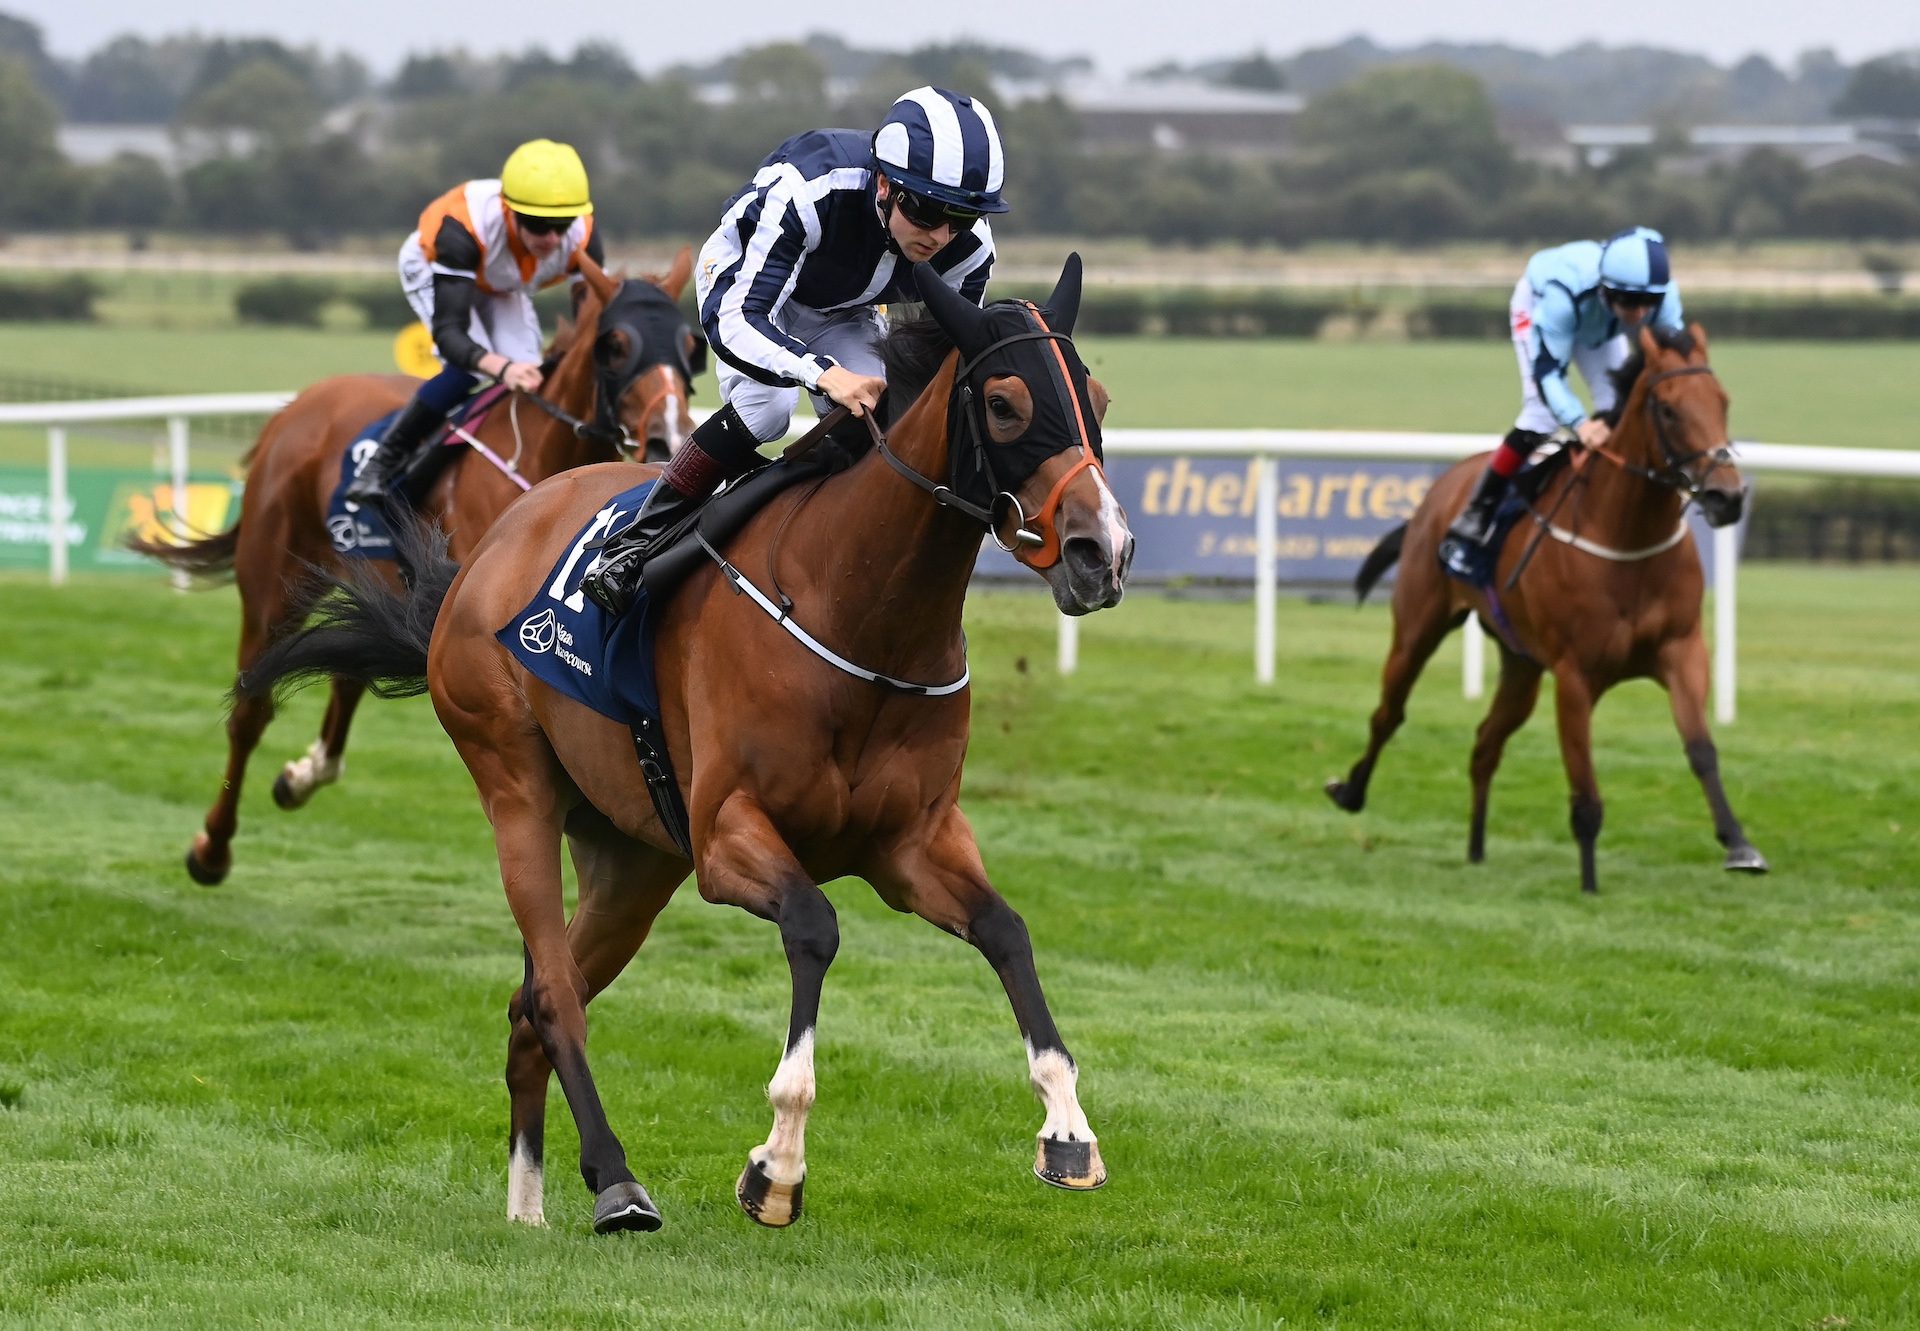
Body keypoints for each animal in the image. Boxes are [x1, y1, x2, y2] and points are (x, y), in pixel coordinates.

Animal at [137, 249, 706, 883]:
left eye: (690, 344)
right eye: (616, 345)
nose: (671, 436)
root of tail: (298, 407)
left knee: (346, 675)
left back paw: (303, 775)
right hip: (274, 583)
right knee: (252, 706)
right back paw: (212, 848)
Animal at [234, 253, 1128, 1229]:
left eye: (1099, 397)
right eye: (1003, 404)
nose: (1102, 550)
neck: (860, 611)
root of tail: (491, 549)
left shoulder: (913, 842)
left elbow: (1006, 930)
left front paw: (1068, 1130)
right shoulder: (727, 834)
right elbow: (814, 925)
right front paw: (776, 1164)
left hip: (632, 860)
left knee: (529, 1005)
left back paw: (528, 1205)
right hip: (514, 782)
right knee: (553, 994)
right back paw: (617, 1182)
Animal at [1328, 324, 1758, 891]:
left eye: (1723, 401)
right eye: (1667, 409)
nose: (1727, 497)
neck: (1626, 536)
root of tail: (1443, 489)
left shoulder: (1681, 651)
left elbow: (1702, 750)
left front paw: (1738, 844)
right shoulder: (1575, 675)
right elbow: (1584, 787)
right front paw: (1590, 884)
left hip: (1522, 665)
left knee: (1485, 742)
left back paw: (1476, 848)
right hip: (1418, 627)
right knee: (1388, 713)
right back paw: (1351, 791)